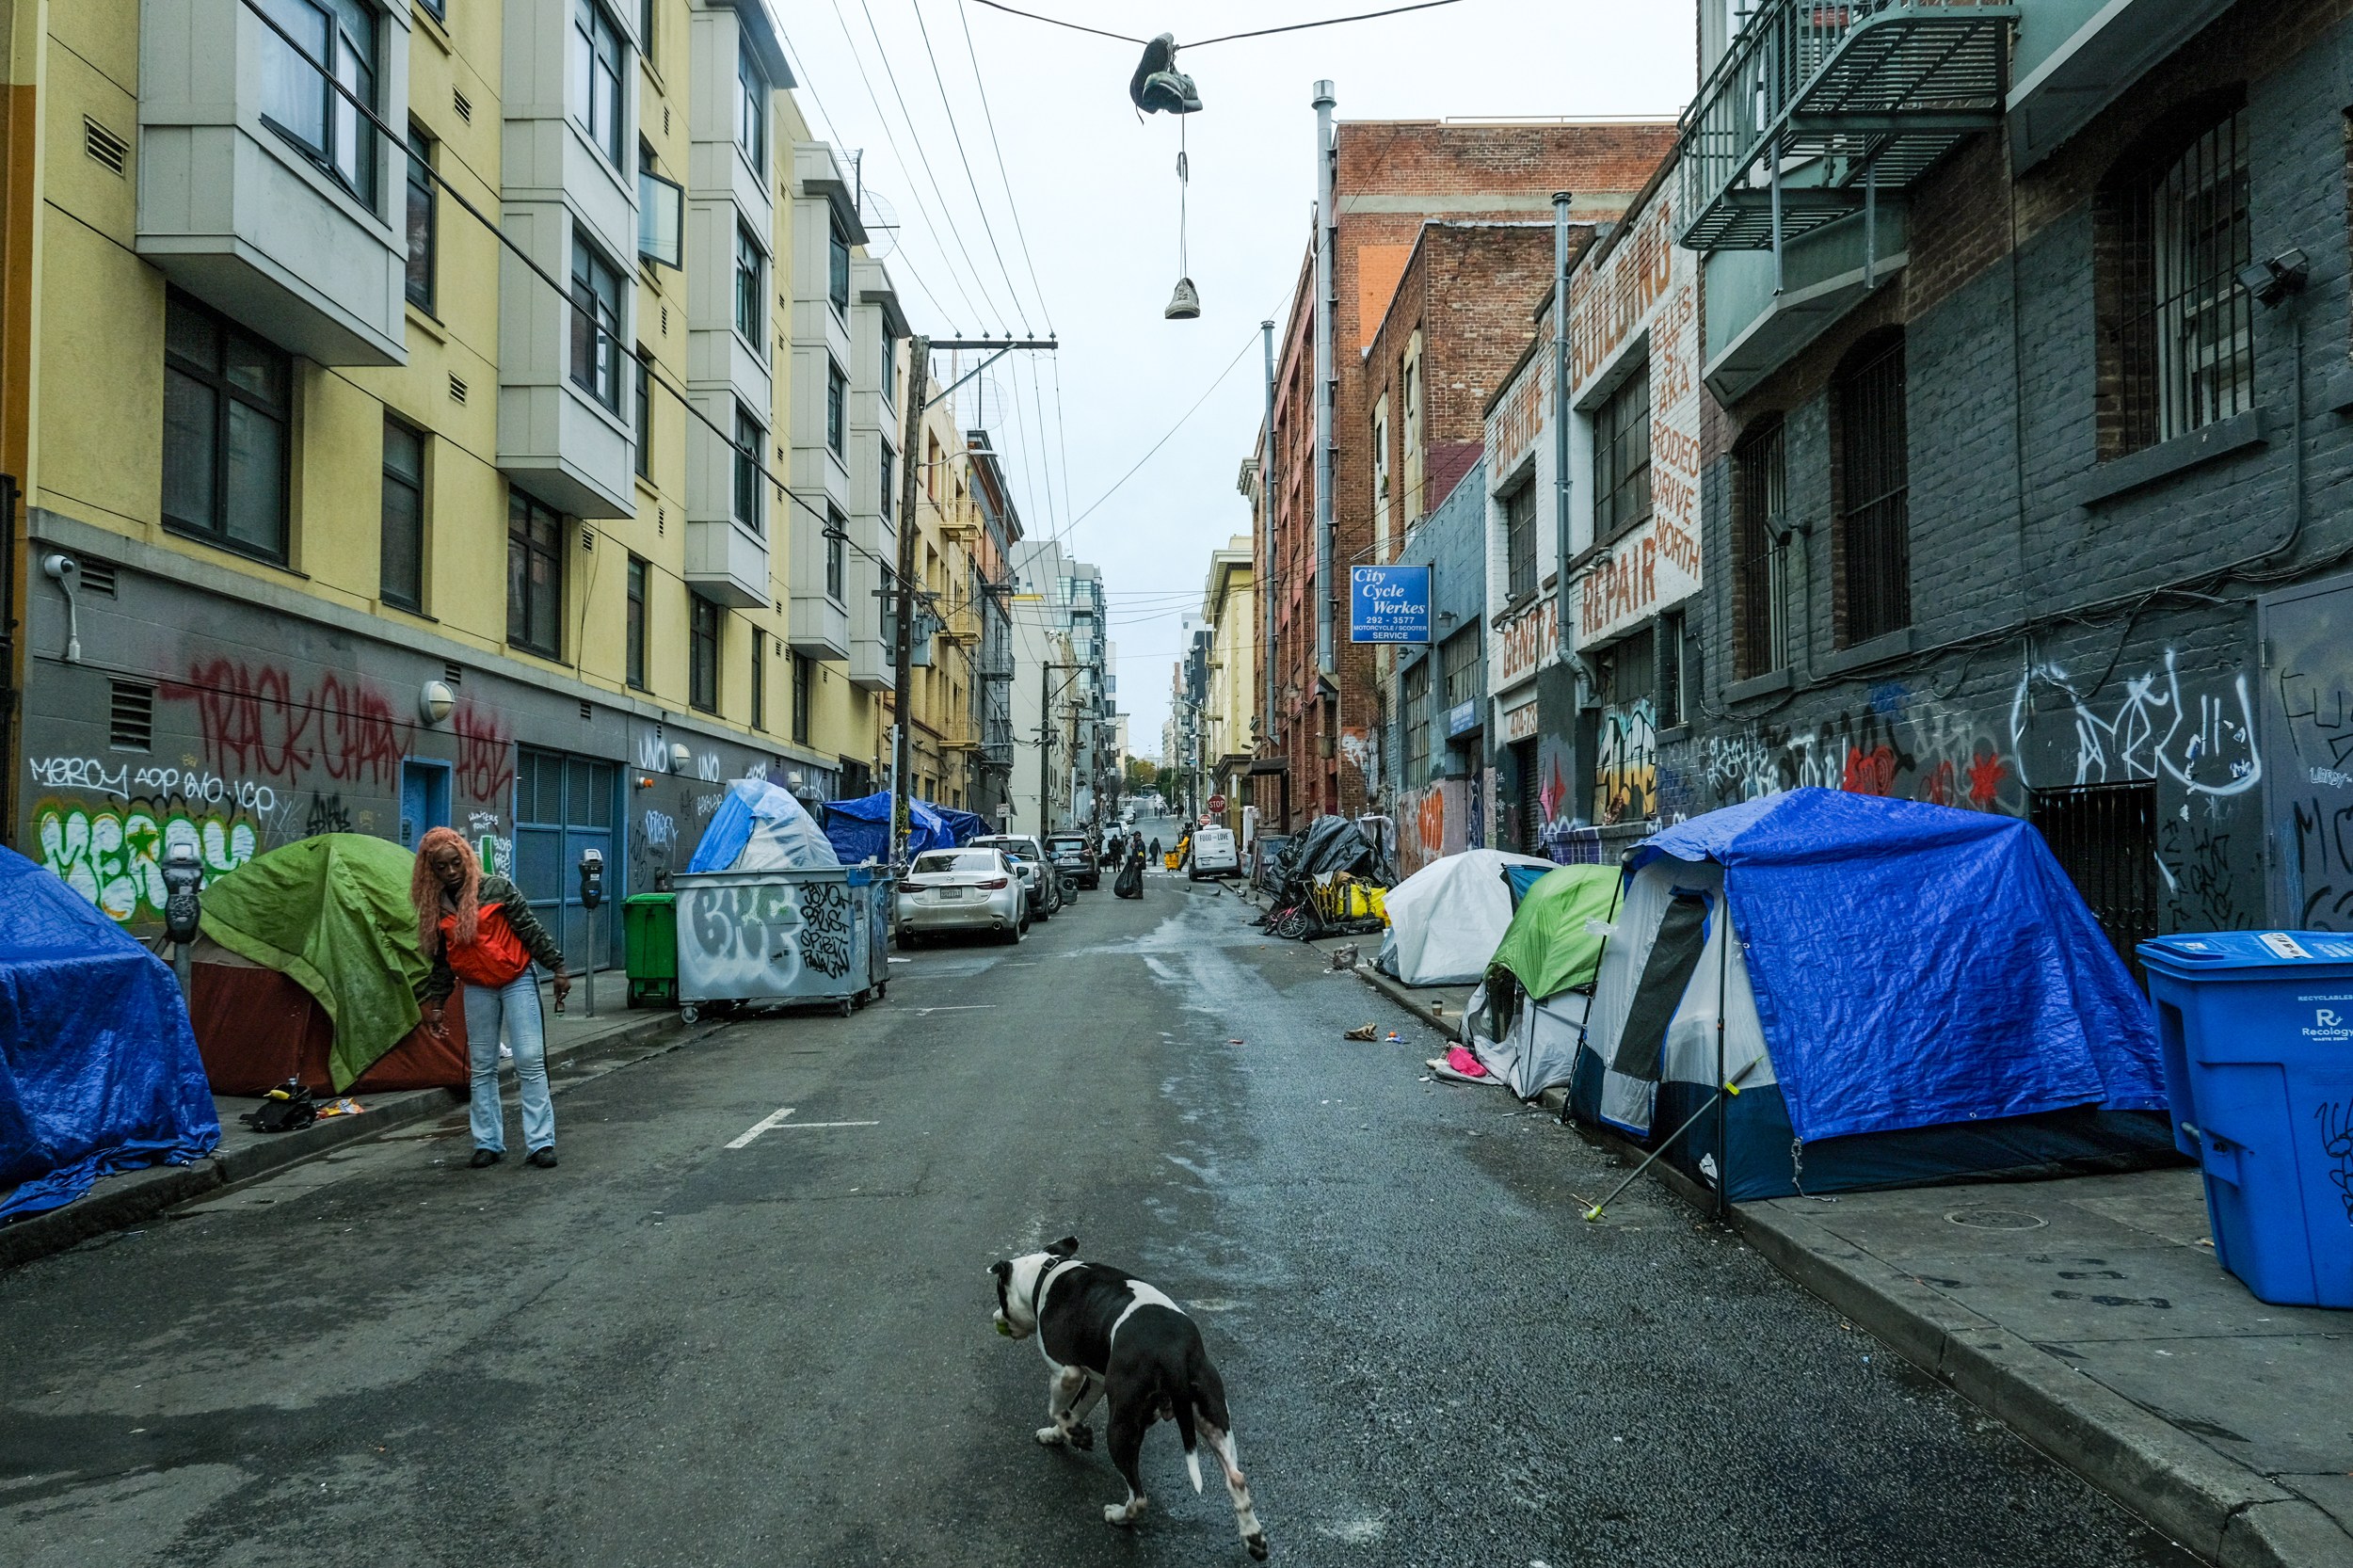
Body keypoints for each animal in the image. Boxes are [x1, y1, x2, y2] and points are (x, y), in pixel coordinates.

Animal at [988, 1233, 1271, 1553]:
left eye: (1001, 1299)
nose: (995, 1316)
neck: (1045, 1273)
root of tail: (1173, 1352)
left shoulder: (1067, 1372)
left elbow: (1058, 1408)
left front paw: (1075, 1434)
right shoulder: (1096, 1381)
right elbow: (1076, 1409)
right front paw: (1059, 1434)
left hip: (1121, 1427)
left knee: (1139, 1497)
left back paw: (1119, 1516)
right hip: (1213, 1416)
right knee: (1236, 1477)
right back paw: (1253, 1537)